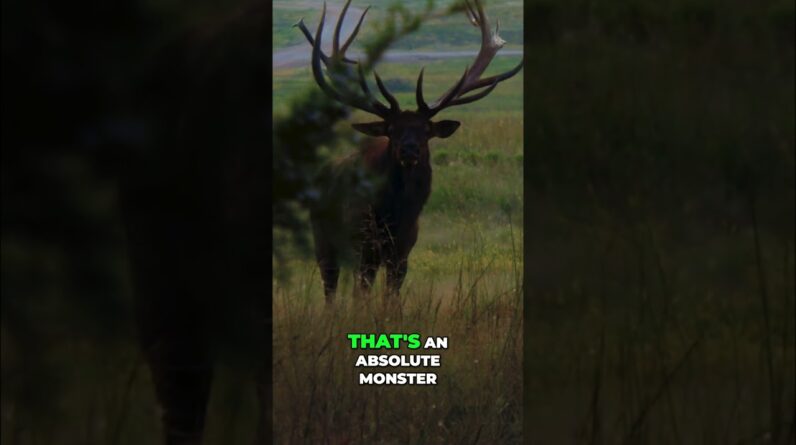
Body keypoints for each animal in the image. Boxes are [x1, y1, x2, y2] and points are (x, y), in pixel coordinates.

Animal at [298, 0, 523, 310]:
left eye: (426, 129)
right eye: (391, 130)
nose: (409, 149)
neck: (396, 212)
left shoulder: (403, 250)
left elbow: (391, 297)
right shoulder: (362, 244)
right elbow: (360, 295)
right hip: (323, 239)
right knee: (330, 289)